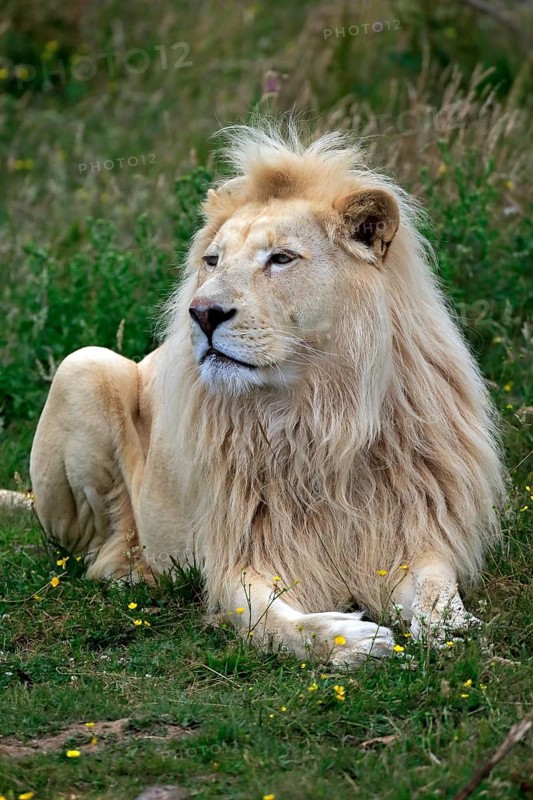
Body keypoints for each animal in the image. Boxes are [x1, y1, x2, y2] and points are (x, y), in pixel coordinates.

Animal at [29, 121, 505, 666]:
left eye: (280, 259)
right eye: (212, 261)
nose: (202, 313)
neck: (319, 413)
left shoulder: (415, 533)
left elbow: (435, 587)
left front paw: (453, 629)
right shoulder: (240, 553)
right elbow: (267, 618)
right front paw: (350, 640)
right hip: (82, 366)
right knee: (95, 549)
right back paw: (132, 569)